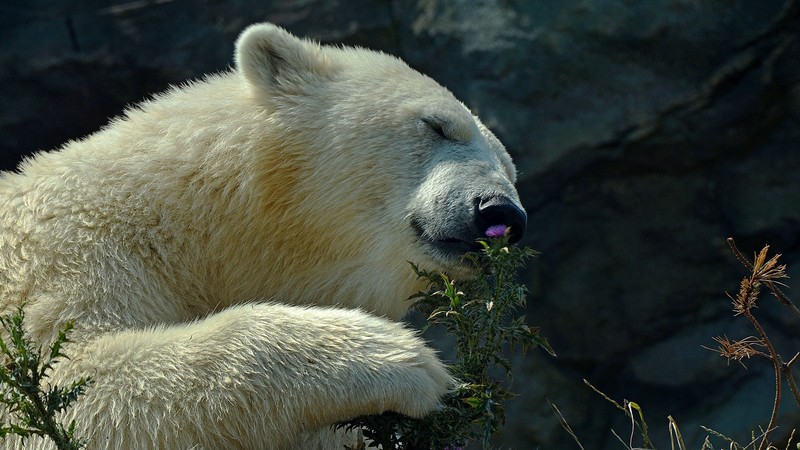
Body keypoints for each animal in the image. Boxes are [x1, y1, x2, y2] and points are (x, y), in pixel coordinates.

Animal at [0, 23, 527, 449]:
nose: (500, 212)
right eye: (436, 125)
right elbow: (75, 390)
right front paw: (404, 359)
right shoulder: (67, 248)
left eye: (509, 168)